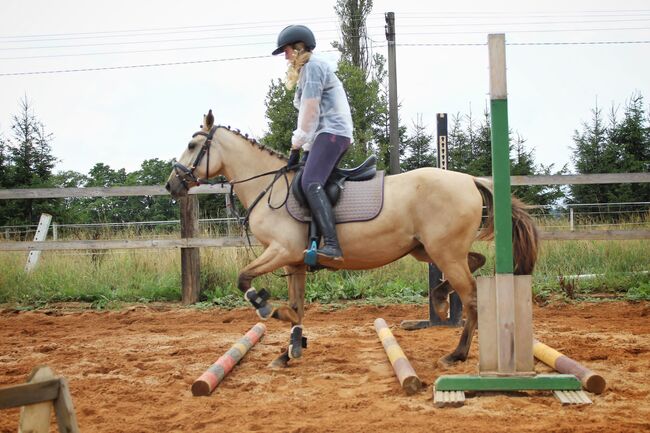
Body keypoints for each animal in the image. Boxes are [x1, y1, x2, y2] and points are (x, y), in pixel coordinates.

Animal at [167, 110, 536, 368]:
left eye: (192, 145)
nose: (172, 185)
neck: (269, 187)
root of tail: (470, 180)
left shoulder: (281, 251)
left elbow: (244, 280)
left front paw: (270, 309)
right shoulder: (294, 262)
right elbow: (298, 307)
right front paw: (290, 349)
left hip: (444, 252)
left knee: (472, 298)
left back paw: (456, 353)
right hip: (429, 250)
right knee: (476, 262)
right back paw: (441, 298)